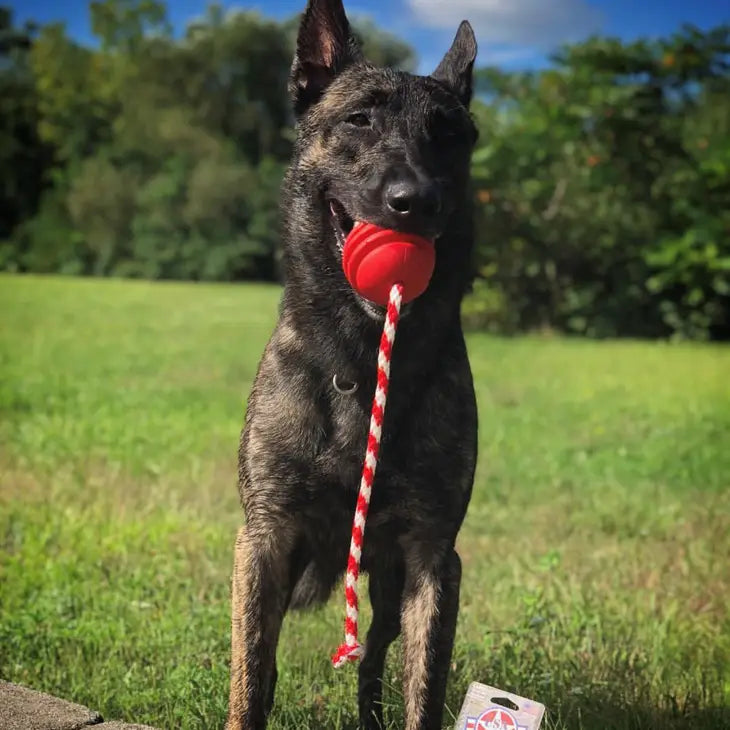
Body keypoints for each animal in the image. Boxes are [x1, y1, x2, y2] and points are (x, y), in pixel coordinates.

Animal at [228, 2, 478, 724]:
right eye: (360, 119)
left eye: (450, 136)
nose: (415, 200)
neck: (362, 355)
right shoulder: (264, 540)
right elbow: (249, 675)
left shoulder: (431, 557)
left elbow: (424, 689)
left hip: (390, 589)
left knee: (373, 659)